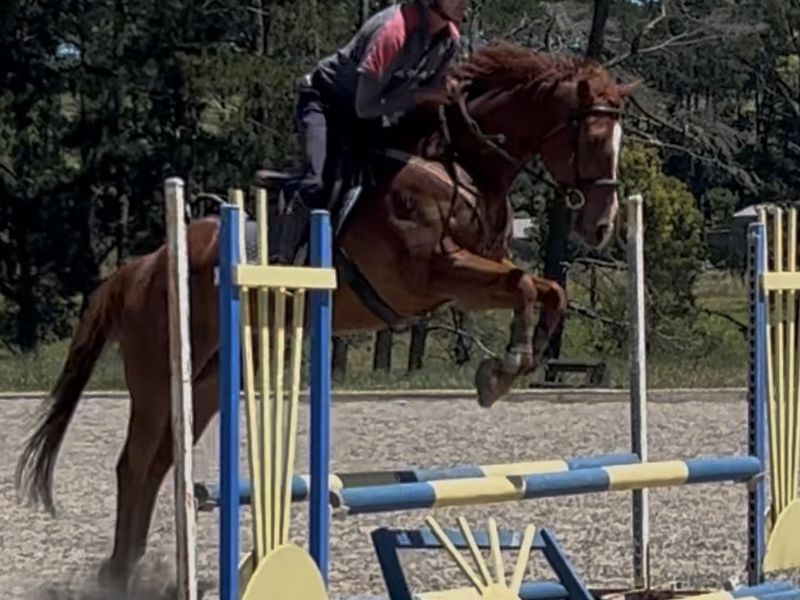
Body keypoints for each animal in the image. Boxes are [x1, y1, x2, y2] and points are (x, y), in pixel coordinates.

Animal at [15, 40, 638, 591]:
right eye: (593, 137)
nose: (603, 226)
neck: (460, 162)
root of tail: (143, 264)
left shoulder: (464, 283)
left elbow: (544, 289)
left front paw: (511, 367)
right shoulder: (432, 276)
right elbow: (524, 284)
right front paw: (502, 369)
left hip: (208, 383)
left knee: (161, 464)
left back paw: (132, 569)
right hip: (158, 376)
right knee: (136, 464)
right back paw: (121, 574)